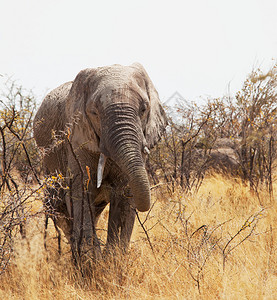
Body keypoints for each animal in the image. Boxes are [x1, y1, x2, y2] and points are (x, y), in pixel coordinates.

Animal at [32, 63, 166, 260]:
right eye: (94, 113)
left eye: (143, 109)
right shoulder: (76, 140)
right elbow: (80, 190)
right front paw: (92, 263)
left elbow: (125, 192)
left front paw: (112, 261)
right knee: (60, 210)